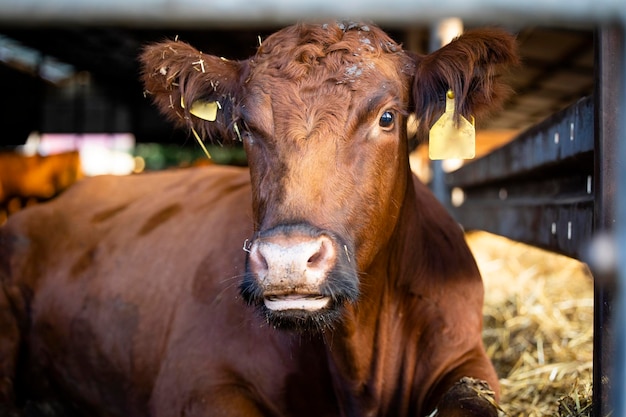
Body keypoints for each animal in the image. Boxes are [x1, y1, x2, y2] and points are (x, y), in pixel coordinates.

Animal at [1, 21, 516, 414]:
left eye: (387, 117)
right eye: (246, 127)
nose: (288, 259)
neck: (360, 361)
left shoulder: (468, 360)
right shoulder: (195, 381)